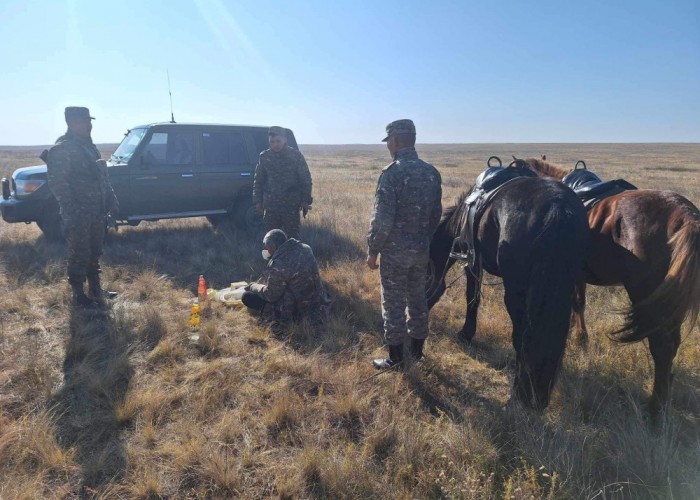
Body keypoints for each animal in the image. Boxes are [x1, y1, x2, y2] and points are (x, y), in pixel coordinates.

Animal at [430, 176, 588, 410]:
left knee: (521, 337)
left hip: (515, 292)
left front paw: (465, 334)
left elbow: (472, 297)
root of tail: (558, 208)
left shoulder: (472, 263)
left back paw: (518, 395)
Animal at [524, 157, 700, 414]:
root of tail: (685, 215)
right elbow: (579, 303)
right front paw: (580, 338)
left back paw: (655, 408)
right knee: (672, 344)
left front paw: (580, 339)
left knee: (662, 346)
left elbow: (577, 303)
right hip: (671, 301)